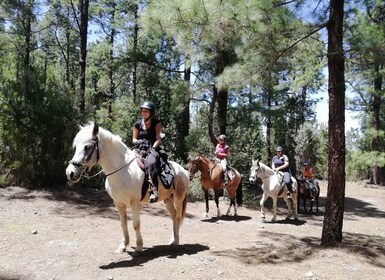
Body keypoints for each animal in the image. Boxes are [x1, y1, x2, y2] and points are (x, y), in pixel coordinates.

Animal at [65, 122, 189, 254]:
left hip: (178, 198)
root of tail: (184, 171)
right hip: (168, 200)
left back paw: (176, 241)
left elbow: (136, 224)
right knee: (174, 217)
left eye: (87, 147)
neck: (123, 170)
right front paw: (123, 245)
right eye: (76, 146)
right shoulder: (118, 203)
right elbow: (123, 223)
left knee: (177, 216)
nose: (70, 173)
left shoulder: (134, 203)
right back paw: (172, 239)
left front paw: (139, 247)